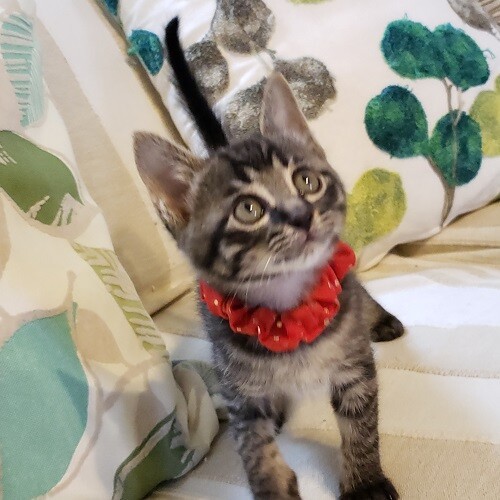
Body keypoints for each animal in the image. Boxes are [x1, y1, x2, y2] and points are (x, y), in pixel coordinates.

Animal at [134, 17, 404, 500]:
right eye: (248, 209)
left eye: (307, 181)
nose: (302, 215)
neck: (286, 303)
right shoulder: (239, 391)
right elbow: (252, 446)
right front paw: (274, 484)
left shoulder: (354, 365)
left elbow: (361, 424)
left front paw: (366, 481)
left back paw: (382, 319)